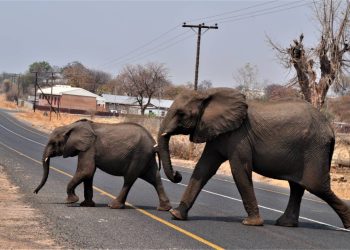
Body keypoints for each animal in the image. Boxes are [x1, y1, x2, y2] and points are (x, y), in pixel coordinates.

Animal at [33, 119, 172, 211]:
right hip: (146, 157)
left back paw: (113, 206)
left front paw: (71, 201)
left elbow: (86, 171)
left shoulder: (89, 148)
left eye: (53, 143)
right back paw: (164, 208)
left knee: (129, 179)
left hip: (139, 155)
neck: (71, 126)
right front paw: (86, 204)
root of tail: (154, 144)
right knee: (154, 178)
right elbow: (88, 175)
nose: (35, 192)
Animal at [158, 87, 350, 229]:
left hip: (315, 148)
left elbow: (239, 170)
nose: (177, 175)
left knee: (315, 186)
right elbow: (203, 168)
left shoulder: (239, 136)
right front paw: (176, 215)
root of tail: (331, 128)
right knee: (297, 187)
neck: (206, 95)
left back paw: (347, 225)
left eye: (181, 114)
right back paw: (285, 224)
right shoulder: (218, 133)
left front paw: (251, 223)